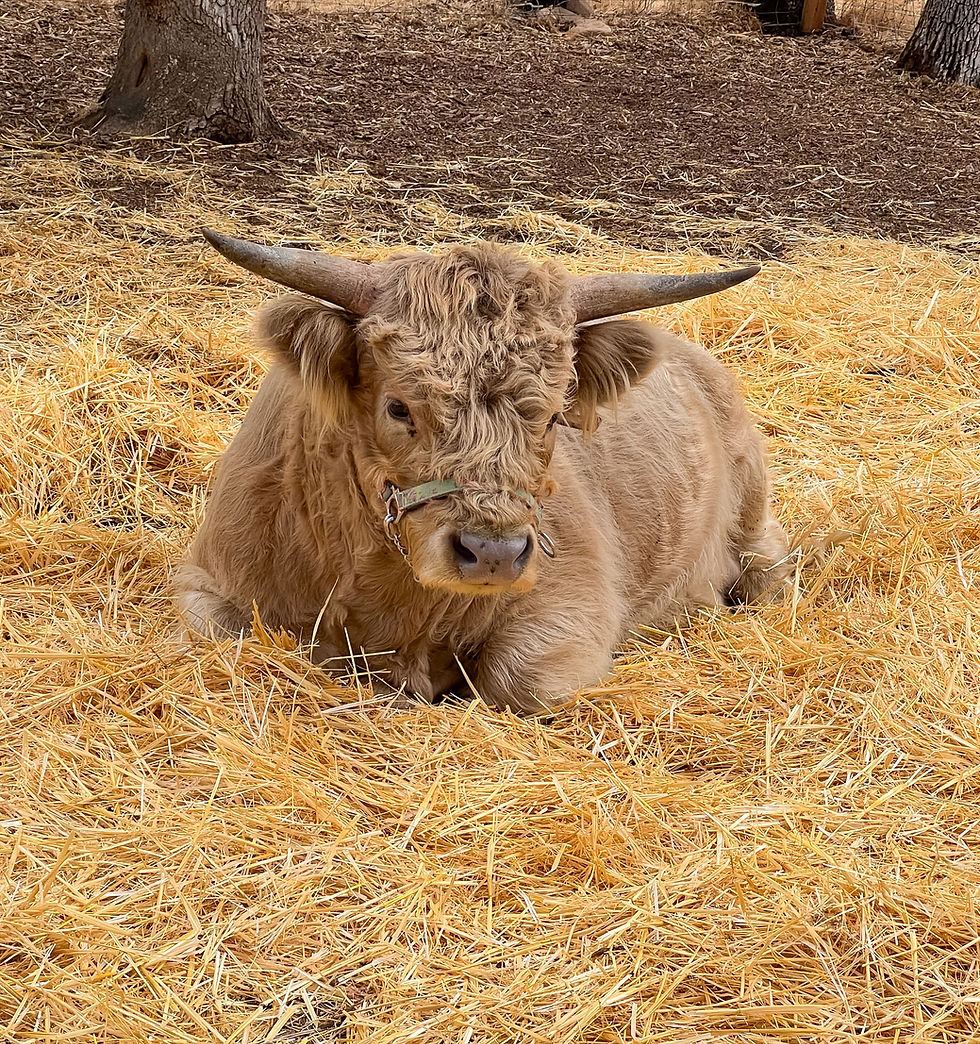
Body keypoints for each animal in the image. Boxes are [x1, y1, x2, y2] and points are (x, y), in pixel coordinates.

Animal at [175, 231, 790, 713]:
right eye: (398, 407)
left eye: (551, 416)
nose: (492, 552)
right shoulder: (208, 582)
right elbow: (217, 633)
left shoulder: (572, 609)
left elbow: (521, 682)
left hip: (754, 515)